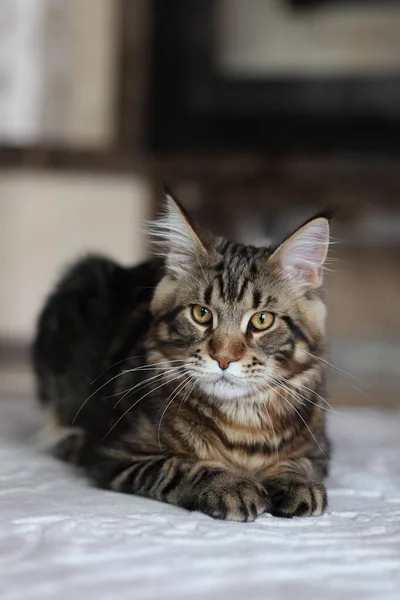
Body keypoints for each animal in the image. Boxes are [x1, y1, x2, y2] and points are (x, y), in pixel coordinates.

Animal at [31, 192, 332, 520]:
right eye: (201, 314)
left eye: (262, 320)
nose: (223, 358)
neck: (242, 425)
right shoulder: (117, 454)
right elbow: (183, 467)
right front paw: (232, 485)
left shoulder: (319, 452)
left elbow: (297, 464)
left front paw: (294, 483)